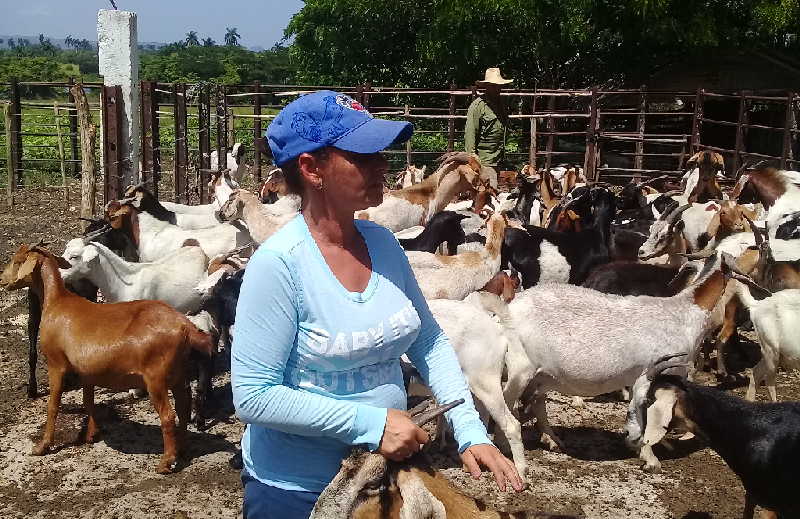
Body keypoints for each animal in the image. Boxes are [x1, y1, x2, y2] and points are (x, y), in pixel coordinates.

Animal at [0, 244, 212, 476]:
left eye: (18, 260)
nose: (2, 279)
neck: (57, 303)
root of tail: (185, 326)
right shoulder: (86, 371)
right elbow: (88, 401)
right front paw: (91, 434)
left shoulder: (56, 364)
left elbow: (53, 405)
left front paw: (42, 446)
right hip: (178, 373)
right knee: (183, 406)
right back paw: (182, 449)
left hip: (156, 378)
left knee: (168, 415)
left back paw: (165, 462)